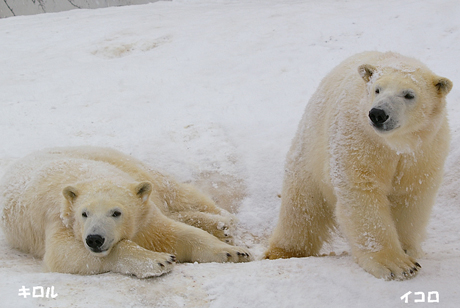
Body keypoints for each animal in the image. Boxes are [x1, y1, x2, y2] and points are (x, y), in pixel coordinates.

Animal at [0, 146, 252, 278]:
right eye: (84, 213)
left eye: (116, 212)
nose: (94, 239)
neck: (91, 176)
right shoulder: (61, 221)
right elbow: (64, 255)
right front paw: (159, 260)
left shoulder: (142, 213)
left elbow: (173, 234)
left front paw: (235, 252)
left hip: (130, 164)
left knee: (176, 191)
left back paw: (222, 222)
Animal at [264, 51, 452, 280]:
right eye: (377, 89)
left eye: (409, 95)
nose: (378, 113)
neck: (394, 144)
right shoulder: (359, 137)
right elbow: (362, 192)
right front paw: (397, 265)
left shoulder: (424, 150)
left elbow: (410, 196)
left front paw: (407, 250)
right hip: (310, 152)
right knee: (302, 207)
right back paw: (282, 251)